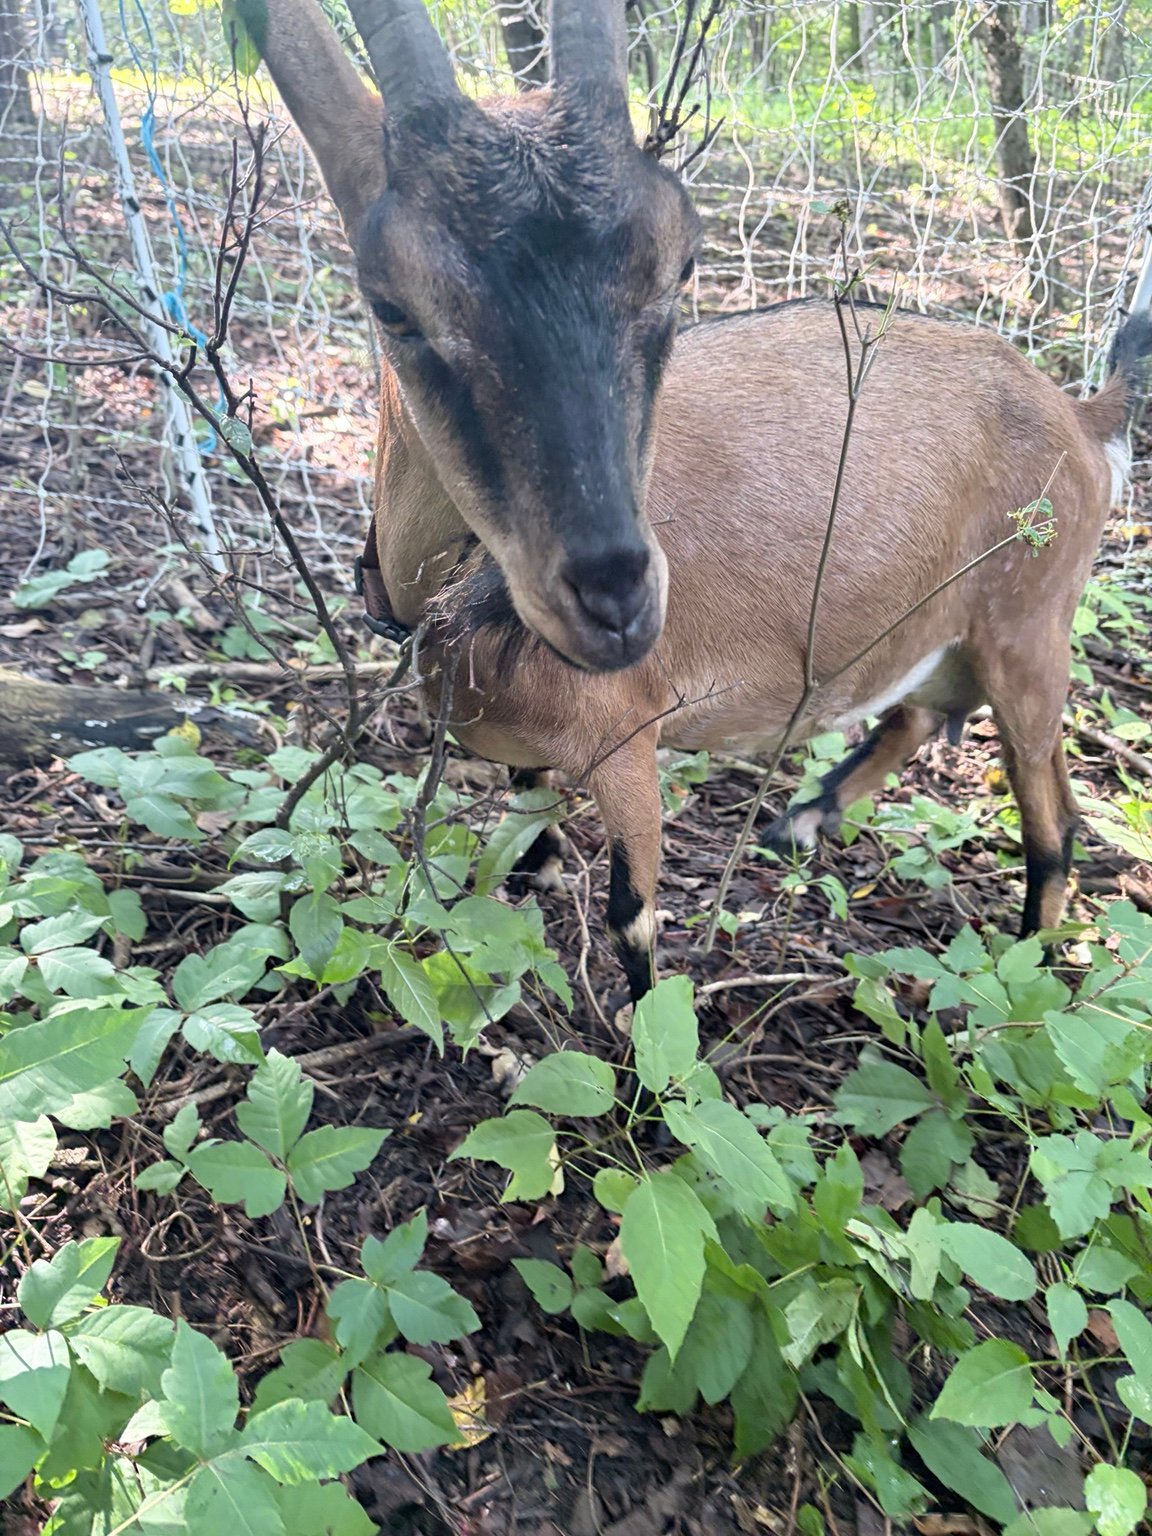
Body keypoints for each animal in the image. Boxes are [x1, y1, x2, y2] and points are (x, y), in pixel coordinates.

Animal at [248, 0, 1151, 1003]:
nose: (618, 603)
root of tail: (1080, 414)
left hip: (1028, 624)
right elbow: (527, 848)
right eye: (392, 305)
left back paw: (1031, 965)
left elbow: (632, 920)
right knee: (930, 714)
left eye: (681, 263)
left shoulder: (628, 740)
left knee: (1049, 814)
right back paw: (802, 820)